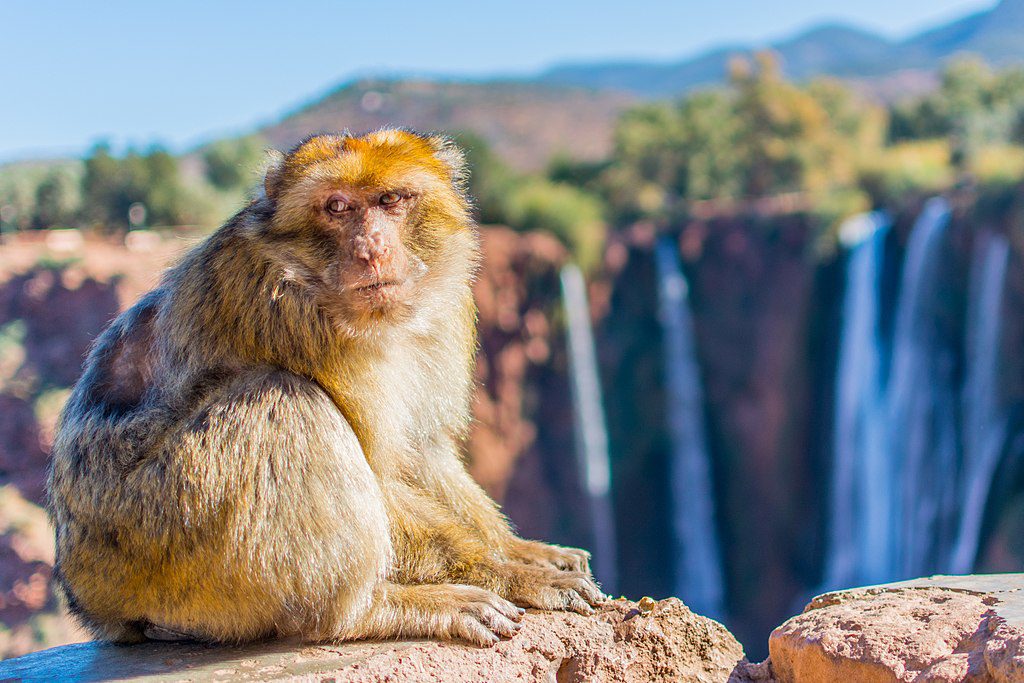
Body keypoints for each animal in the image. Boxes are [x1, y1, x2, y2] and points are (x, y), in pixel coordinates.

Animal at [48, 131, 602, 651]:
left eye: (390, 200)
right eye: (337, 207)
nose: (371, 249)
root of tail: (86, 598)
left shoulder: (447, 307)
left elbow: (422, 450)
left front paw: (522, 552)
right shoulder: (280, 311)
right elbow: (378, 467)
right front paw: (511, 574)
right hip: (150, 540)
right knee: (285, 399)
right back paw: (367, 612)